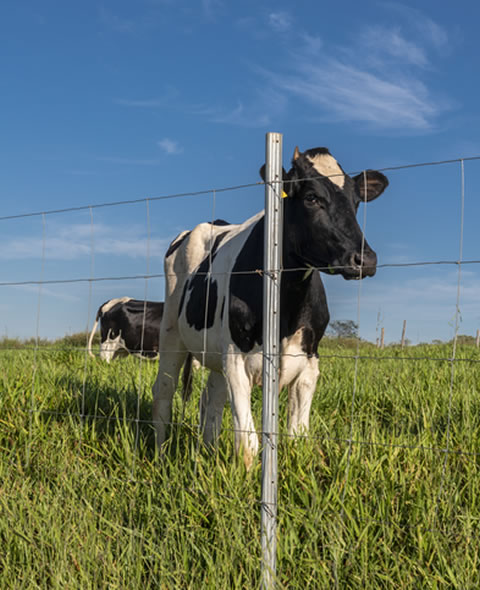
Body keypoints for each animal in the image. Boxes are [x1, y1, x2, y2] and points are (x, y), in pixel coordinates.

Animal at [152, 146, 388, 470]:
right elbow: (248, 443)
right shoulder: (236, 358)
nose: (365, 259)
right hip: (172, 331)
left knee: (210, 399)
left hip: (214, 351)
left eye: (355, 201)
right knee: (164, 391)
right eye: (311, 198)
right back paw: (159, 456)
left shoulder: (309, 362)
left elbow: (298, 436)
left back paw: (208, 452)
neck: (286, 307)